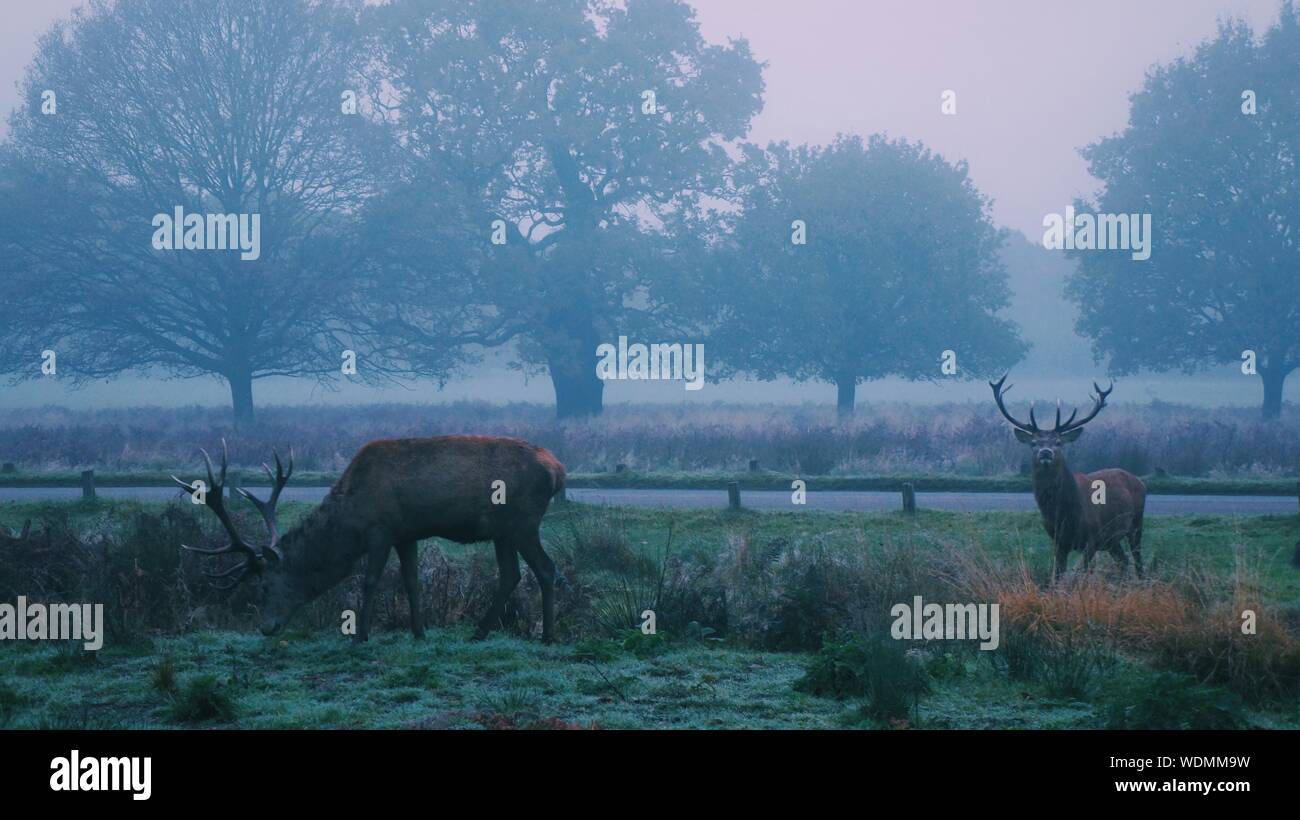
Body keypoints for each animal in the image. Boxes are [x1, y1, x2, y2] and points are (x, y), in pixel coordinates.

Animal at [172, 435, 567, 643]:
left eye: (265, 585)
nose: (266, 627)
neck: (350, 515)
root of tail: (558, 469)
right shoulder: (406, 533)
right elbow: (411, 581)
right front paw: (419, 632)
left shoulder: (381, 529)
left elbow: (371, 580)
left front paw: (360, 634)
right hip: (503, 531)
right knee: (512, 574)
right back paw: (480, 633)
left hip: (522, 523)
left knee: (545, 569)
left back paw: (547, 637)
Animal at [990, 375, 1146, 582]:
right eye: (1033, 443)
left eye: (1058, 442)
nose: (1045, 452)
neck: (1064, 514)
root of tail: (1140, 481)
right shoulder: (1058, 541)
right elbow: (1057, 576)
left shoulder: (1092, 538)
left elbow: (1082, 575)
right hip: (1111, 540)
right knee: (1123, 561)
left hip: (1136, 524)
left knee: (1137, 561)